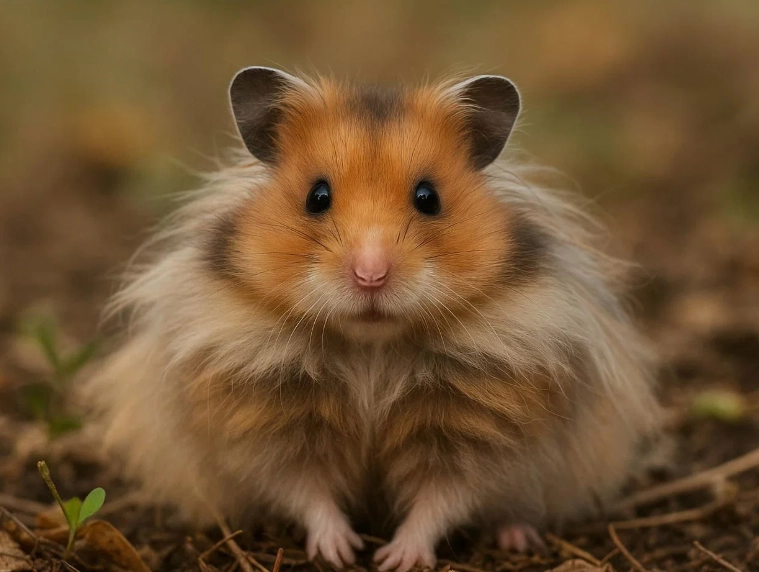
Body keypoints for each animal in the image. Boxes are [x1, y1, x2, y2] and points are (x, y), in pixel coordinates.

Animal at [81, 67, 661, 571]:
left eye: (428, 197)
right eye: (317, 196)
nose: (370, 275)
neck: (371, 349)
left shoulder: (479, 433)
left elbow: (441, 499)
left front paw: (395, 559)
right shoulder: (267, 427)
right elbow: (306, 490)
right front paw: (341, 551)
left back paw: (517, 537)